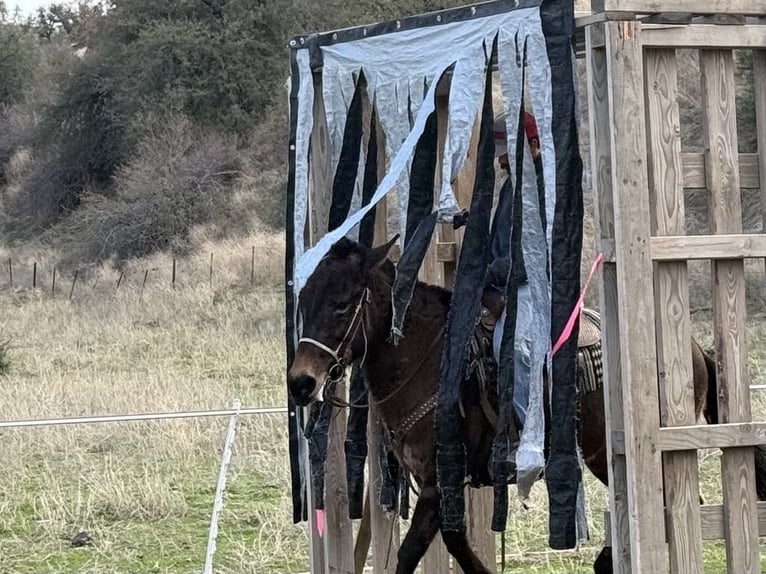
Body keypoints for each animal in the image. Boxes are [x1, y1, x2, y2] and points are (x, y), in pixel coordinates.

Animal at [287, 236, 766, 574]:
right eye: (303, 303)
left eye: (343, 303)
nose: (301, 382)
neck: (427, 359)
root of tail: (695, 348)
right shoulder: (438, 484)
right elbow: (456, 543)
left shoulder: (439, 480)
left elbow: (409, 554)